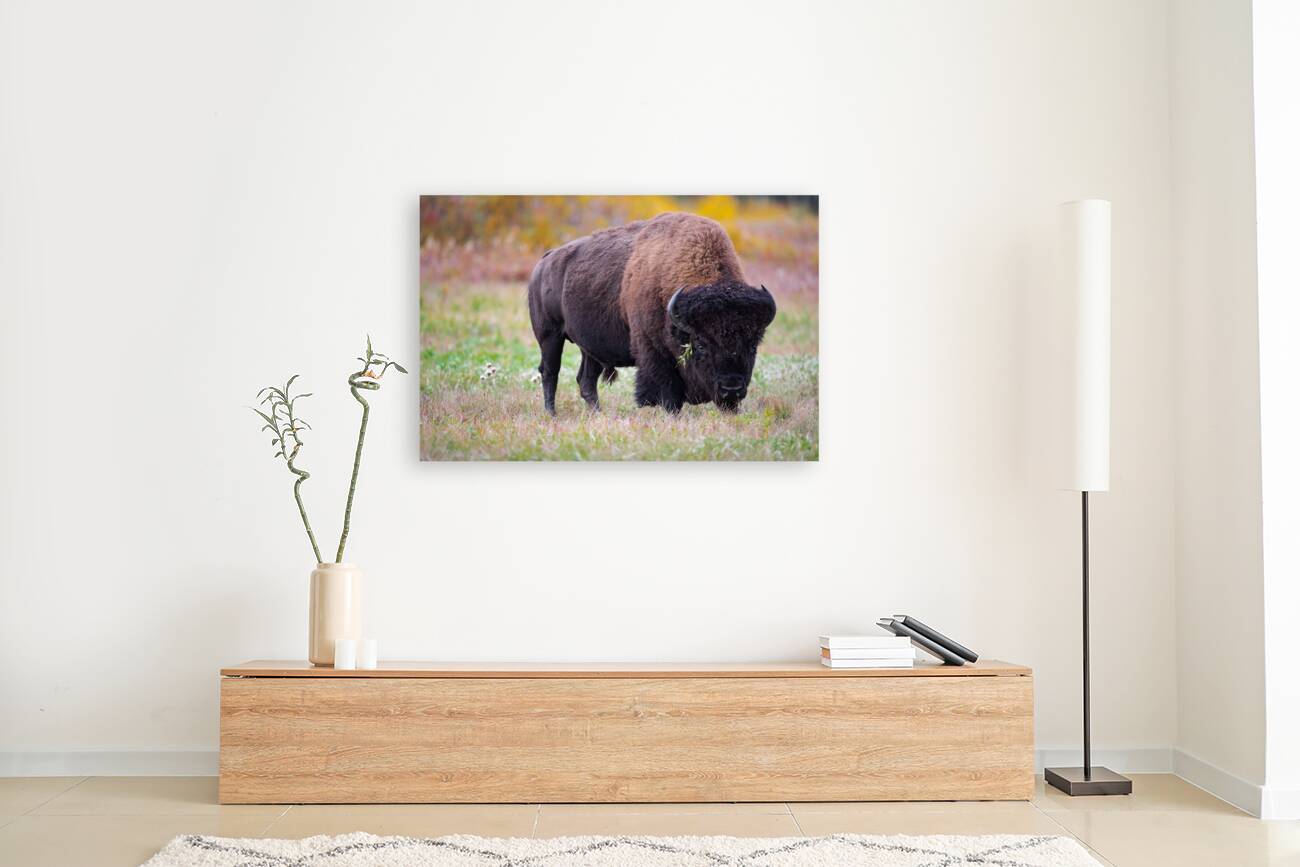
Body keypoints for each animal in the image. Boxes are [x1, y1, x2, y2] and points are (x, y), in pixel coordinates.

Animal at [526, 212, 777, 415]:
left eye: (752, 345)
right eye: (701, 344)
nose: (731, 388)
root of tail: (543, 263)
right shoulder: (654, 351)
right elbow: (669, 393)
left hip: (590, 348)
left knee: (586, 381)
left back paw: (598, 415)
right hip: (550, 336)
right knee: (550, 372)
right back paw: (552, 414)